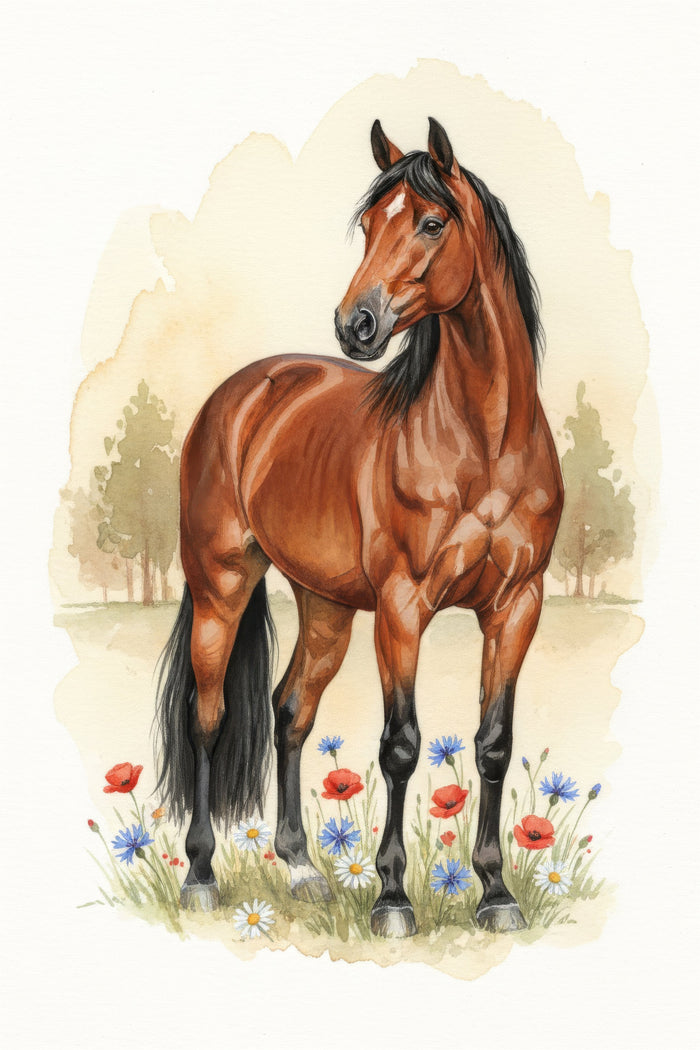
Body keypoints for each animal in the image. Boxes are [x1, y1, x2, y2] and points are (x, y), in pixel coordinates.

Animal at [156, 117, 563, 936]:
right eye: (371, 224)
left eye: (433, 222)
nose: (357, 324)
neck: (485, 445)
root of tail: (241, 395)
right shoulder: (403, 608)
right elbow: (400, 746)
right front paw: (393, 897)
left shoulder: (517, 606)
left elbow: (493, 745)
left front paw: (495, 893)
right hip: (221, 587)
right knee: (208, 718)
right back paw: (203, 876)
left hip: (327, 608)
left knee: (290, 711)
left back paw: (302, 868)